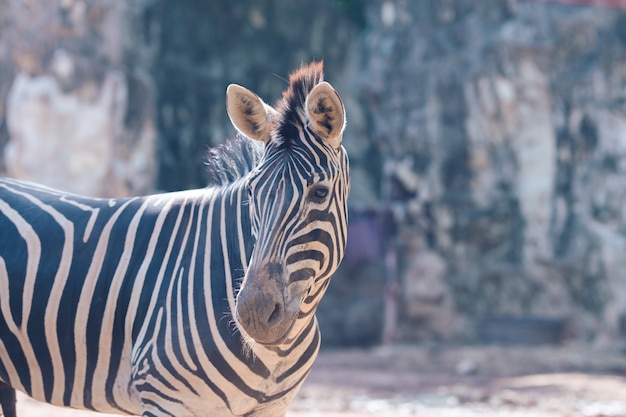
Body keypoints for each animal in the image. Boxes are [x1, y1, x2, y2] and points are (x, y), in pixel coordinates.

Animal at [0, 61, 346, 416]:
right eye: (251, 193)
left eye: (319, 193)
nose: (253, 314)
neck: (275, 354)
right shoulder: (163, 400)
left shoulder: (272, 408)